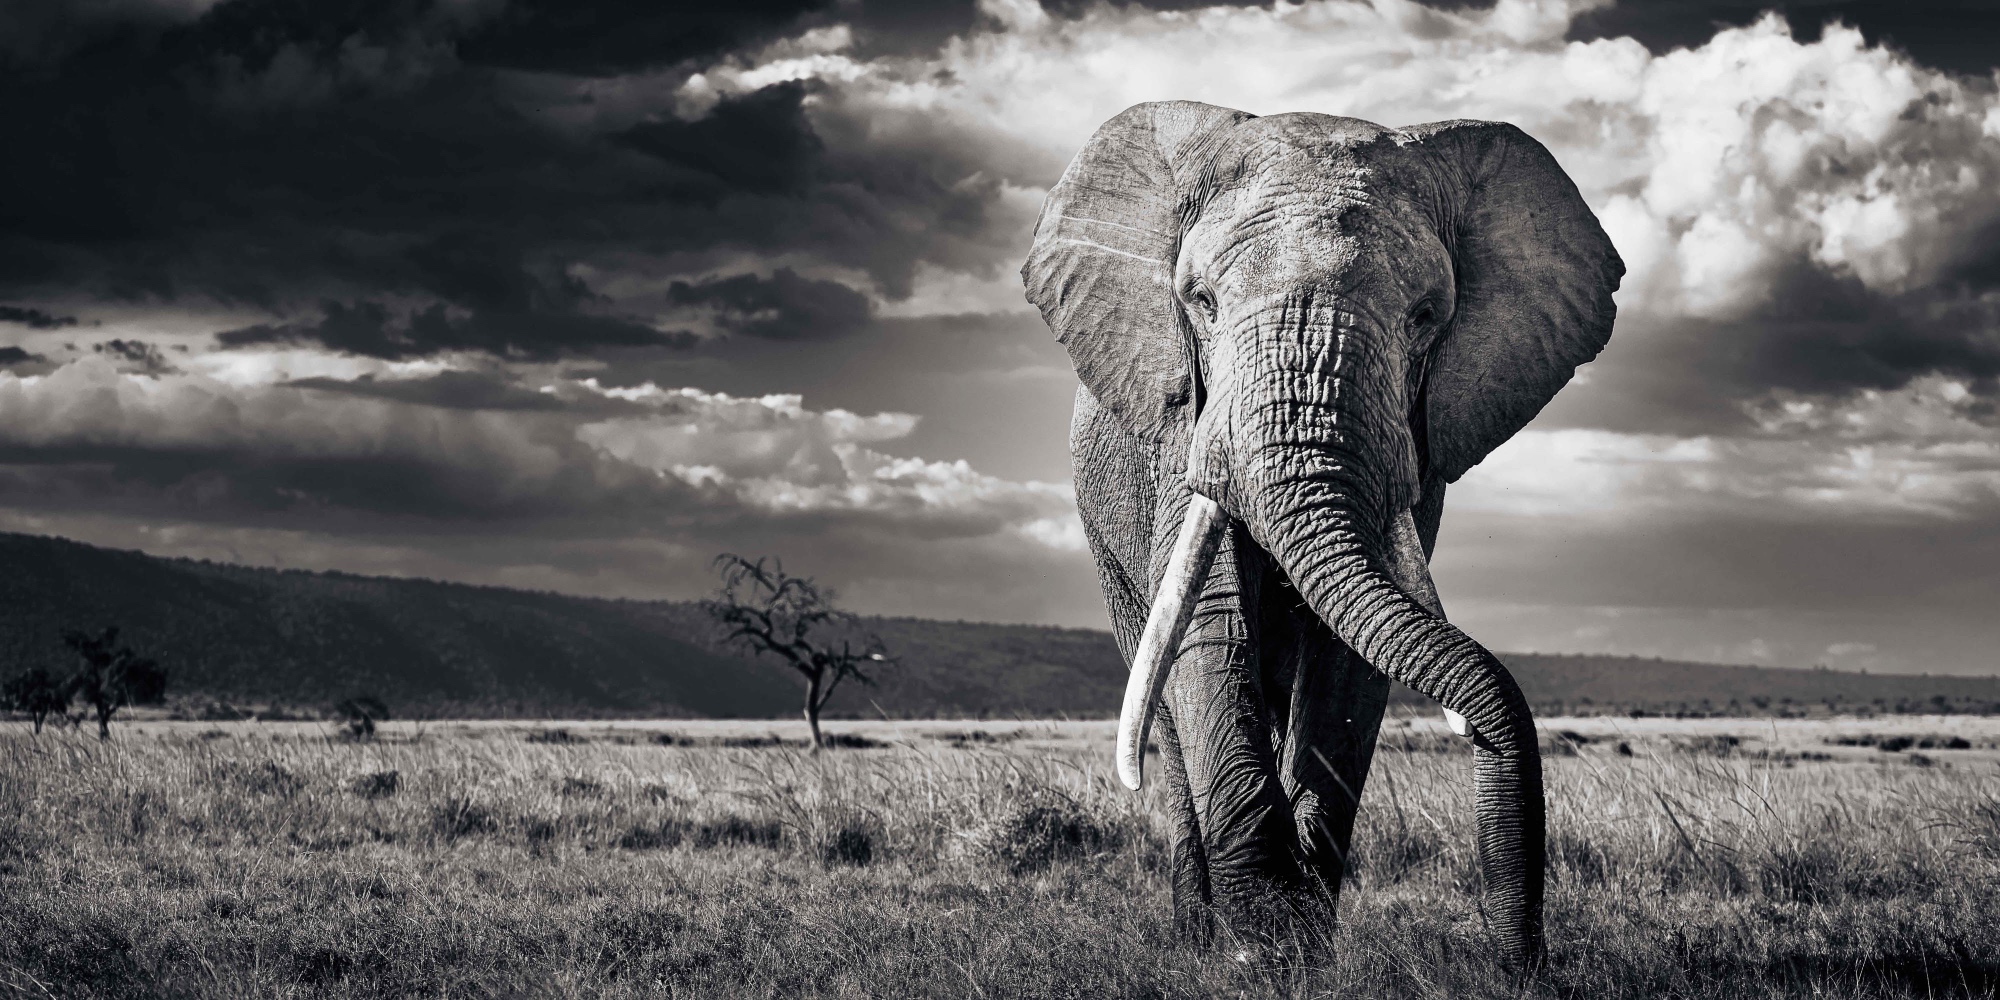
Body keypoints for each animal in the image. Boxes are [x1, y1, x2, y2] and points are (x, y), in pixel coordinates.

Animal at [1021, 102, 1622, 967]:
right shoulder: (1184, 429)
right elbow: (1210, 629)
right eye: (1200, 301)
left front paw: (1299, 942)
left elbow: (1351, 658)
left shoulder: (1419, 445)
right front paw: (1265, 948)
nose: (1522, 961)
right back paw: (1194, 936)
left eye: (1426, 317)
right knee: (1161, 705)